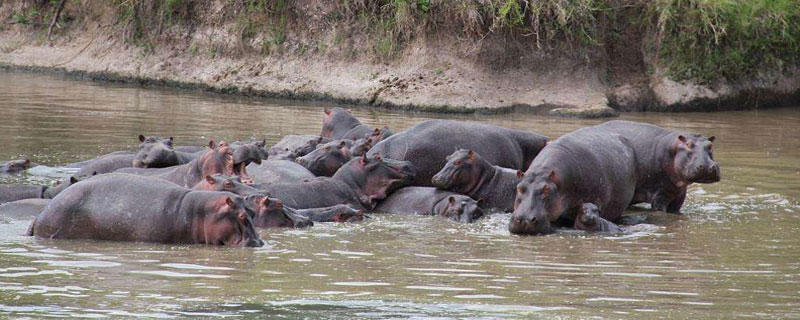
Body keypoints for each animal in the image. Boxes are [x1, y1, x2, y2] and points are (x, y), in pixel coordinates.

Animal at [592, 121, 720, 214]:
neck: (673, 149)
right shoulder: (660, 194)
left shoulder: (679, 195)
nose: (708, 166)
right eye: (688, 144)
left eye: (710, 145)